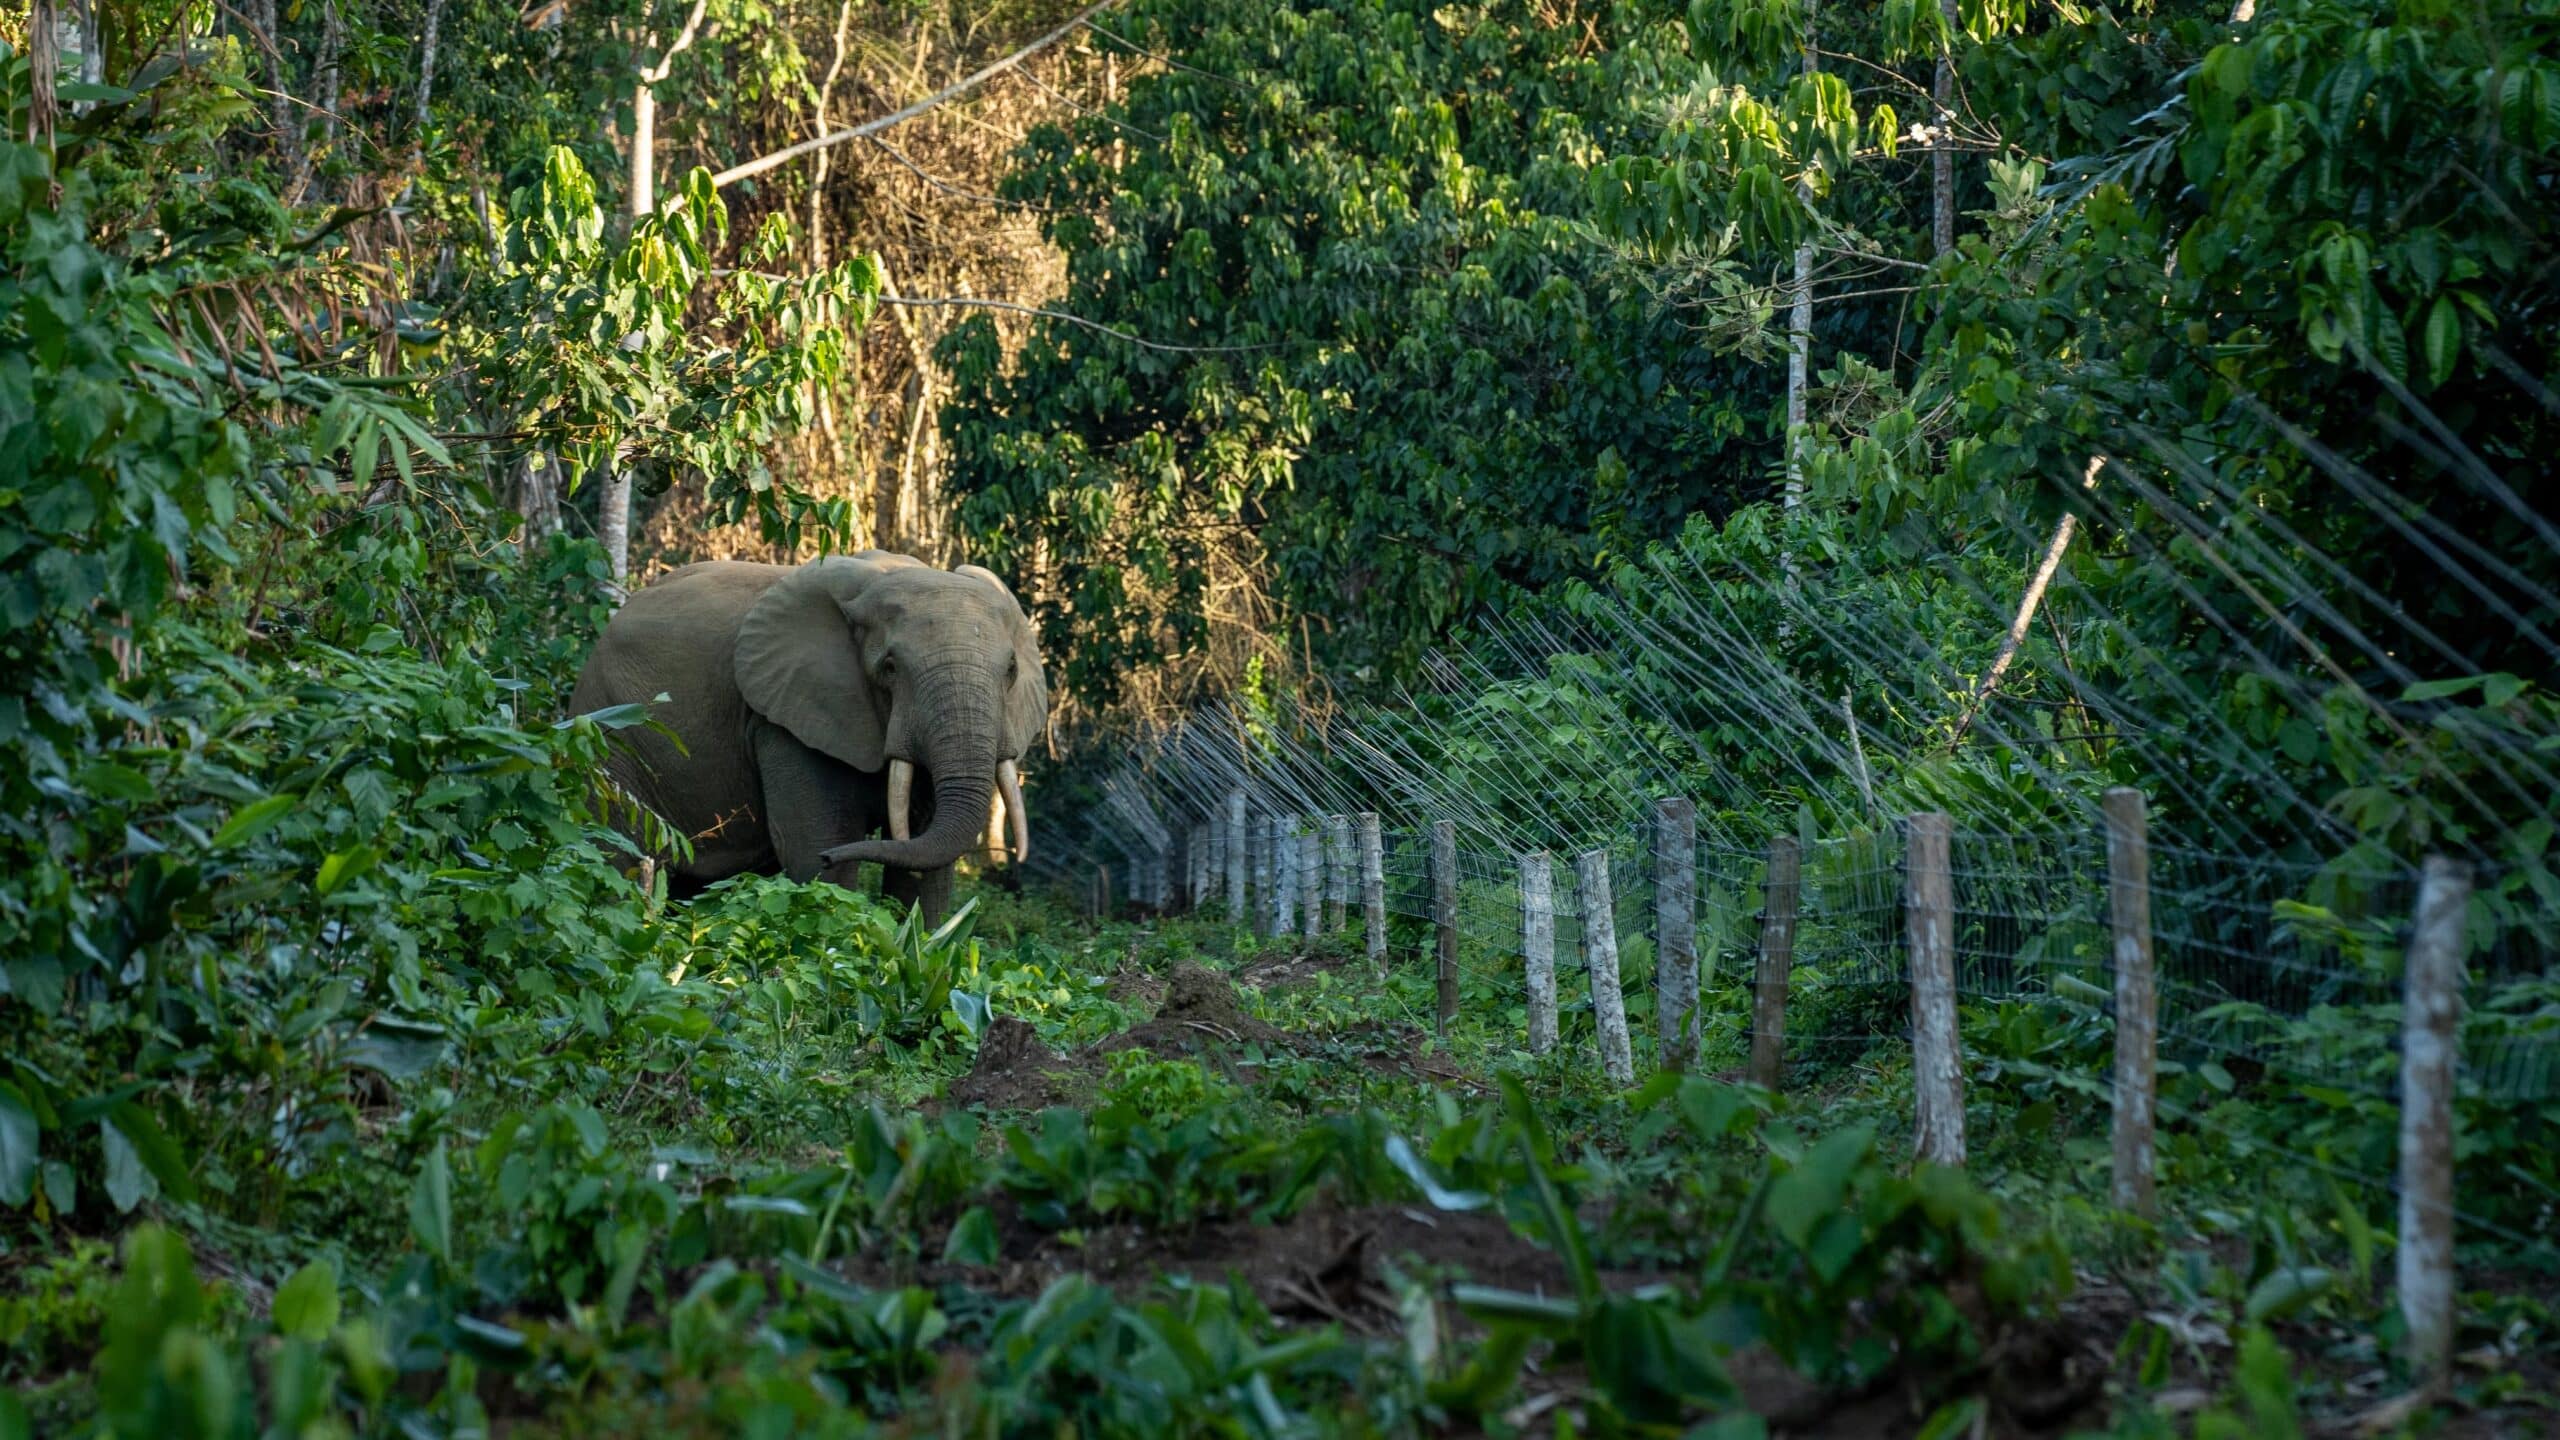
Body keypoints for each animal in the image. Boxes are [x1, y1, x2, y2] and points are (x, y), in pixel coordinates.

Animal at [573, 543, 1049, 922]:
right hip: (609, 735)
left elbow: (925, 871)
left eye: (1010, 670)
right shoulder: (785, 720)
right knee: (618, 857)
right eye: (889, 668)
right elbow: (815, 847)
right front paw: (830, 864)